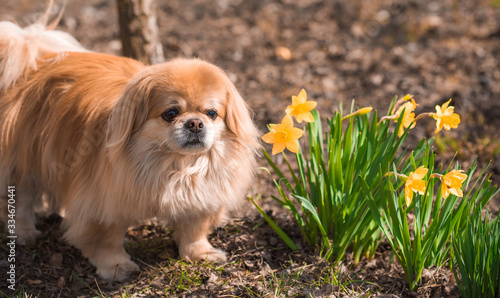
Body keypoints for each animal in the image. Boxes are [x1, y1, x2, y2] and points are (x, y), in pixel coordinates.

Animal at [0, 18, 258, 280]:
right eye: (171, 113)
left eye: (212, 113)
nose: (195, 123)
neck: (174, 165)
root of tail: (33, 64)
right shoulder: (104, 203)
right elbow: (107, 239)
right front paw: (116, 267)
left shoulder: (201, 198)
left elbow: (194, 231)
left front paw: (200, 254)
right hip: (25, 160)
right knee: (21, 197)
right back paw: (24, 231)